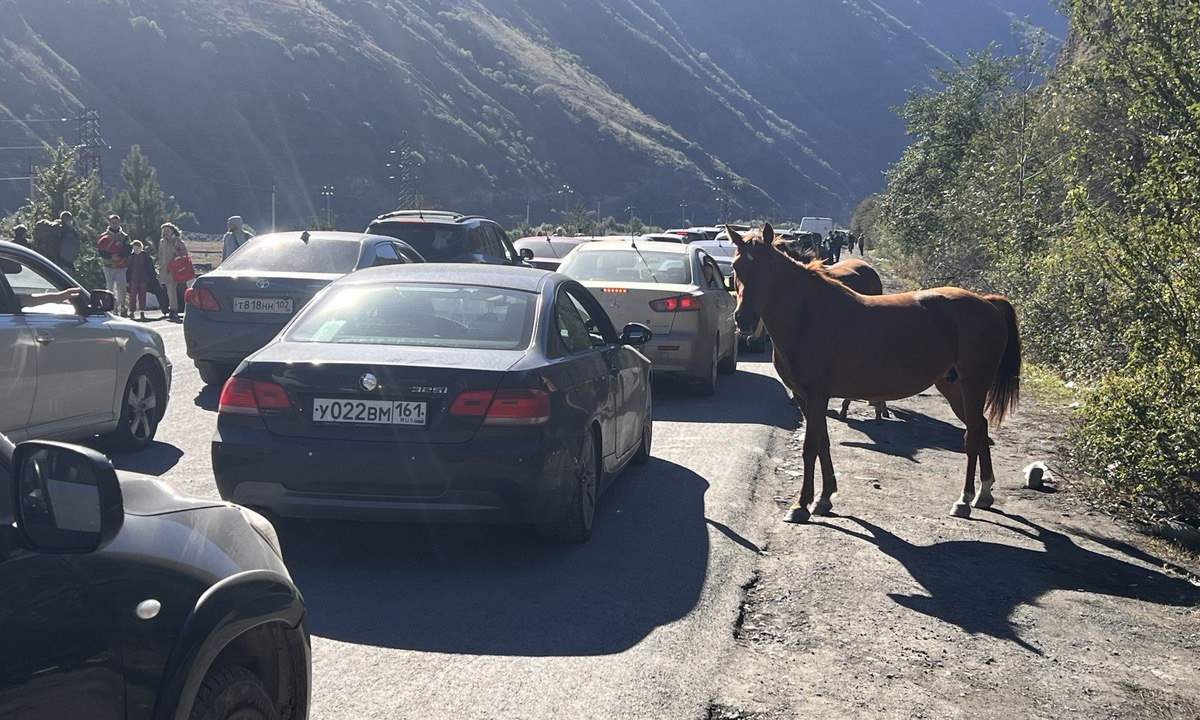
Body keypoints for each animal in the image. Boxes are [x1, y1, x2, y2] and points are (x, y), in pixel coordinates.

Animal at [728, 224, 1021, 522]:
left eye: (768, 267)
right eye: (736, 267)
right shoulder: (803, 396)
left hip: (974, 385)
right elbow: (822, 442)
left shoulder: (817, 395)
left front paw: (801, 505)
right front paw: (824, 497)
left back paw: (964, 499)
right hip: (953, 387)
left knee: (972, 434)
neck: (808, 315)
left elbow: (810, 447)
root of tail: (987, 303)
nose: (744, 319)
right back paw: (984, 493)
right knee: (979, 426)